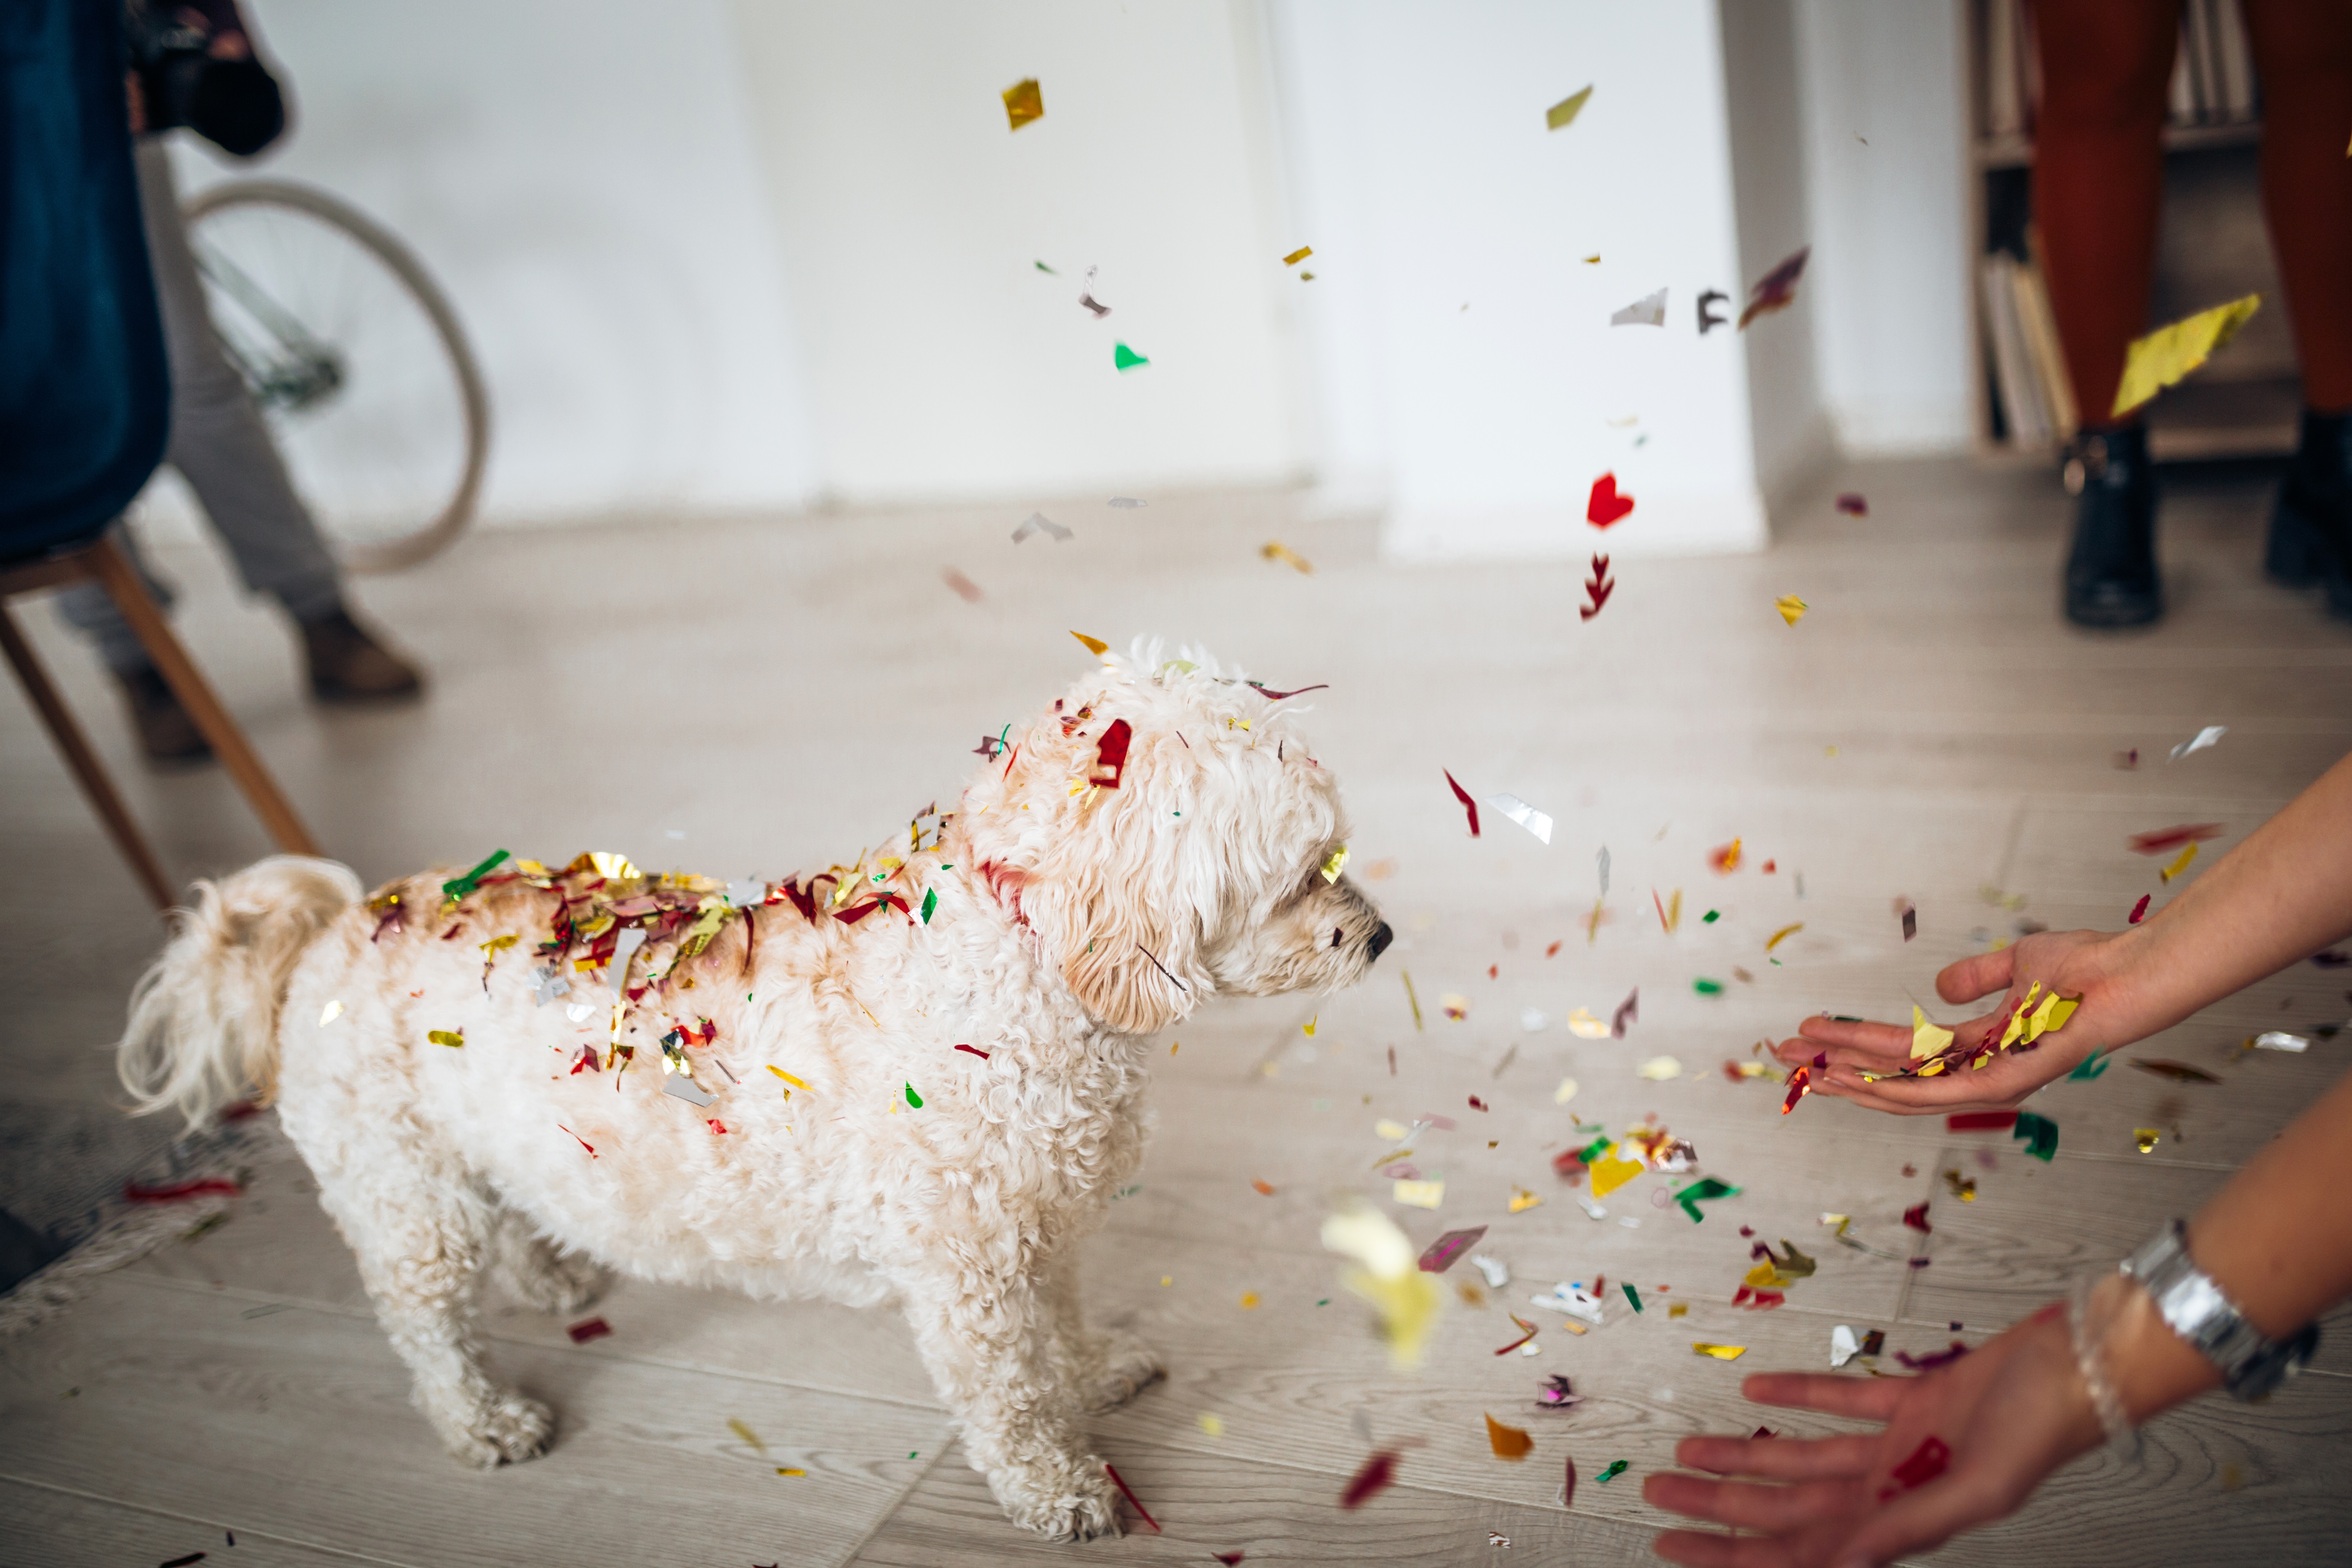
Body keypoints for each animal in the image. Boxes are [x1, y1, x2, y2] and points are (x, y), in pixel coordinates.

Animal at [119, 644, 1383, 1542]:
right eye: (1296, 874)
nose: (1378, 936)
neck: (1014, 953)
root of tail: (331, 926)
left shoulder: (1038, 1227)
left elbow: (1061, 1327)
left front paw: (1093, 1370)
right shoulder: (966, 1266)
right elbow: (1011, 1395)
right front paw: (1061, 1489)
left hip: (495, 1145)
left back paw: (551, 1269)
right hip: (402, 1188)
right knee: (426, 1327)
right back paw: (485, 1419)